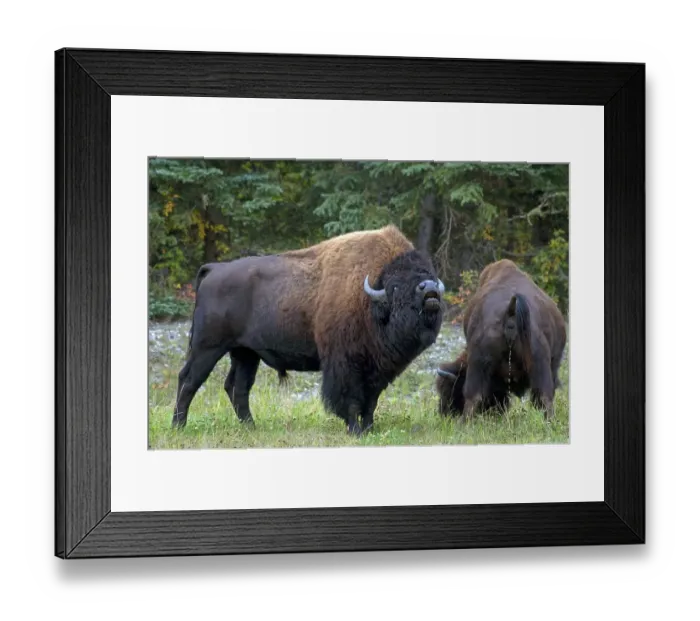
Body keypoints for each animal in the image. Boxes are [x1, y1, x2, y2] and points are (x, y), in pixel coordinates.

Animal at [172, 225, 446, 435]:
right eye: (396, 286)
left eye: (428, 274)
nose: (430, 288)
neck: (370, 299)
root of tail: (214, 269)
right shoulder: (345, 365)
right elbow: (351, 400)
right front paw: (355, 430)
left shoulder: (377, 371)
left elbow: (371, 402)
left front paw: (369, 429)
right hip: (208, 347)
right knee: (189, 380)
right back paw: (179, 426)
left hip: (245, 353)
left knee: (237, 387)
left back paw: (251, 427)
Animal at [435, 259, 567, 420]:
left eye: (447, 388)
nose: (444, 413)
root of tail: (511, 312)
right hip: (538, 363)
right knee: (544, 396)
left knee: (473, 396)